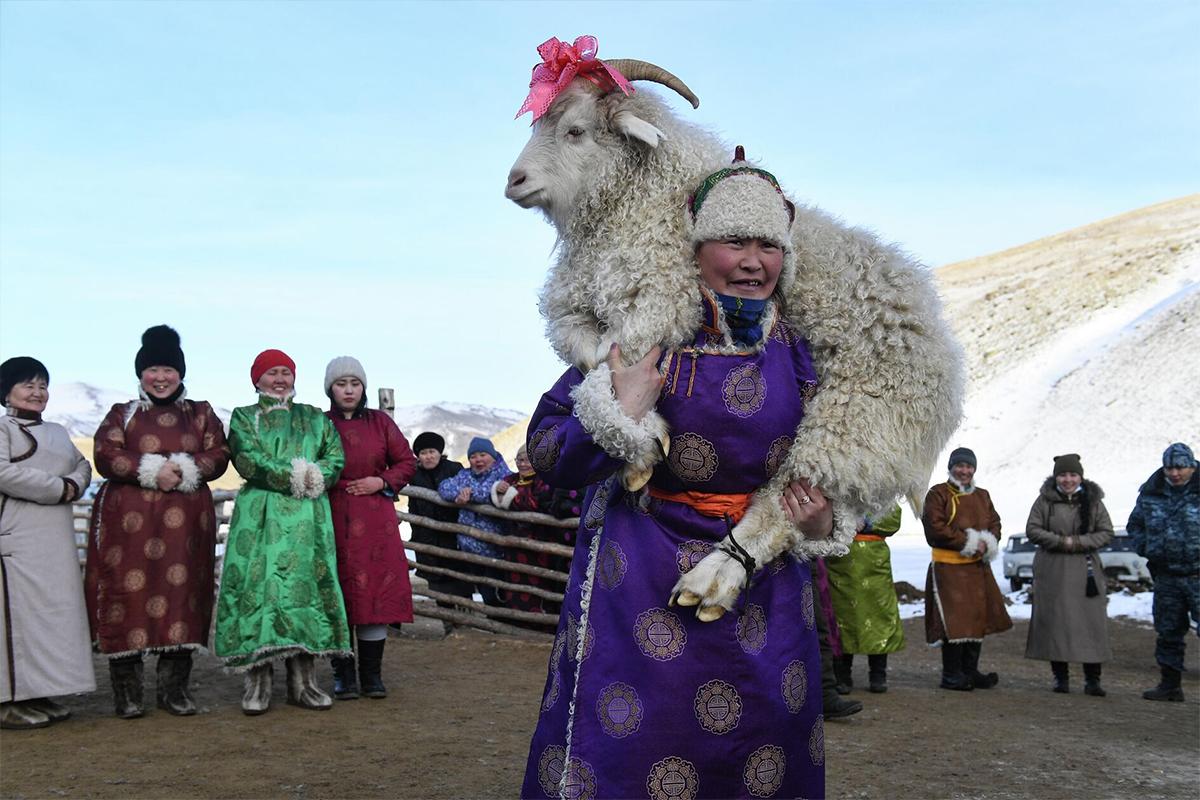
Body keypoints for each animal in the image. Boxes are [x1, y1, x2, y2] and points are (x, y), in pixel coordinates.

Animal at [506, 61, 964, 618]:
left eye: (575, 131)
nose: (514, 181)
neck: (645, 201)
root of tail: (942, 349)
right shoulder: (575, 305)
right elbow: (590, 355)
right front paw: (637, 427)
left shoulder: (659, 297)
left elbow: (617, 359)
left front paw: (638, 448)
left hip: (858, 420)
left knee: (782, 505)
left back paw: (714, 578)